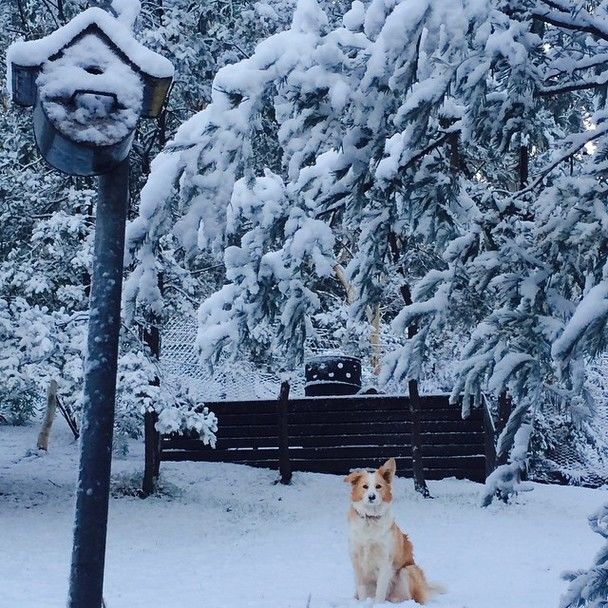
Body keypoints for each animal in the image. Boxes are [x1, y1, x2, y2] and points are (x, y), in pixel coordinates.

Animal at [344, 460, 440, 604]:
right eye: (365, 487)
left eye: (378, 486)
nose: (371, 496)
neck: (370, 519)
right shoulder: (356, 561)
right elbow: (362, 590)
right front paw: (362, 604)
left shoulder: (385, 561)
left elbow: (380, 591)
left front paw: (377, 605)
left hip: (408, 570)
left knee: (410, 597)